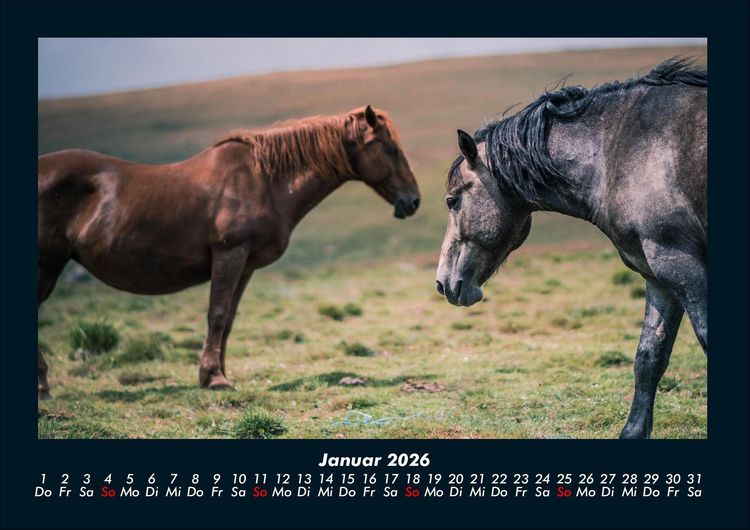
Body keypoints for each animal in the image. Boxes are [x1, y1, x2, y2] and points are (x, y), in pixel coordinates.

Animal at [38, 105, 420, 396]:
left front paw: (215, 372)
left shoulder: (245, 265)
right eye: (391, 149)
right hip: (47, 265)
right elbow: (217, 314)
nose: (413, 201)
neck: (264, 180)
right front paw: (214, 378)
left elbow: (230, 319)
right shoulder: (229, 255)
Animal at [435, 58, 706, 439]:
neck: (619, 150)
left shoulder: (682, 265)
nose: (442, 282)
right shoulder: (659, 275)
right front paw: (632, 431)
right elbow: (649, 356)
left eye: (452, 200)